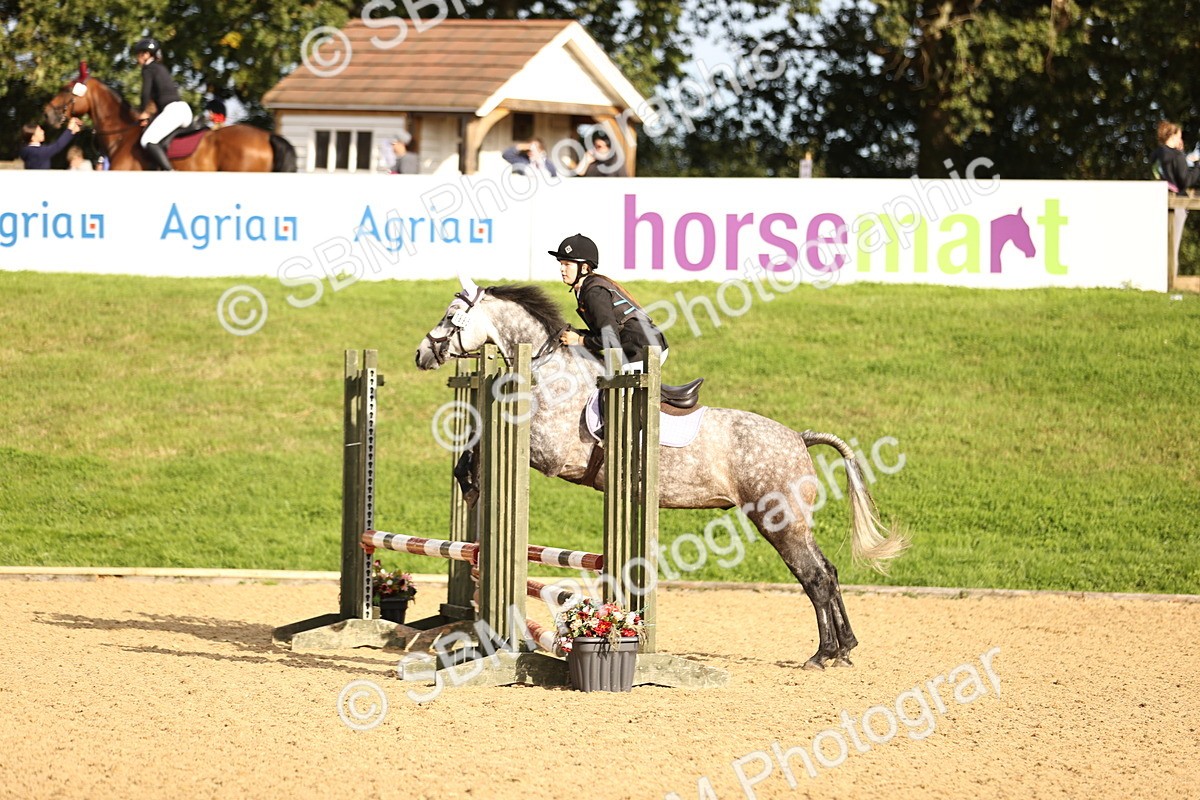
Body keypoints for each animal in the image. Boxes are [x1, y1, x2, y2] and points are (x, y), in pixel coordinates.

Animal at [415, 277, 909, 670]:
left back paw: (823, 654)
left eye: (451, 316)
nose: (422, 354)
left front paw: (470, 480)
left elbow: (483, 444)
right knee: (828, 571)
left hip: (778, 519)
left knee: (814, 577)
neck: (547, 366)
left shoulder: (550, 453)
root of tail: (799, 438)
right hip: (795, 522)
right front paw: (469, 479)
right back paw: (845, 647)